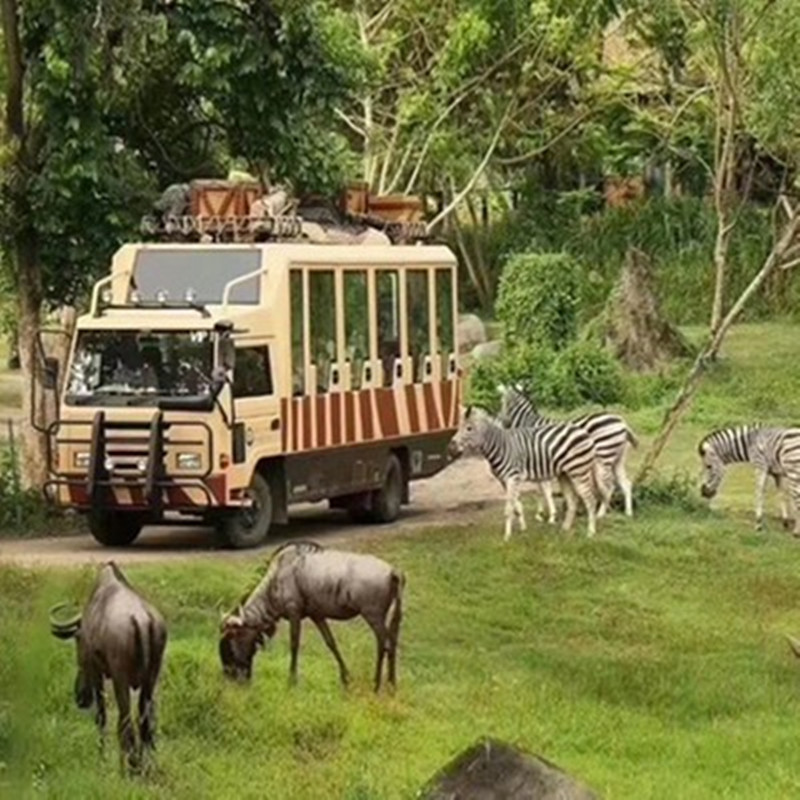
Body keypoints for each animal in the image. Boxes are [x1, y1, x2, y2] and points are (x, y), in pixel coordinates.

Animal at [450, 404, 608, 540]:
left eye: (469, 428)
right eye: (459, 428)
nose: (451, 448)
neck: (501, 446)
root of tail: (585, 433)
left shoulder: (512, 477)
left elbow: (509, 508)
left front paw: (507, 537)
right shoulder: (505, 481)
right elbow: (517, 506)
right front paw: (523, 529)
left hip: (578, 471)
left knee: (591, 500)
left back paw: (590, 532)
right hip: (565, 474)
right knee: (572, 500)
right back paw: (565, 529)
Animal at [500, 382, 636, 520]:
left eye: (503, 402)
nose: (503, 423)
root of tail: (621, 422)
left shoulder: (539, 459)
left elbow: (544, 489)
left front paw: (549, 514)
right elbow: (541, 489)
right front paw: (541, 513)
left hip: (604, 455)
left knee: (609, 486)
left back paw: (600, 513)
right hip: (618, 458)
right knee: (625, 483)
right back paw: (628, 512)